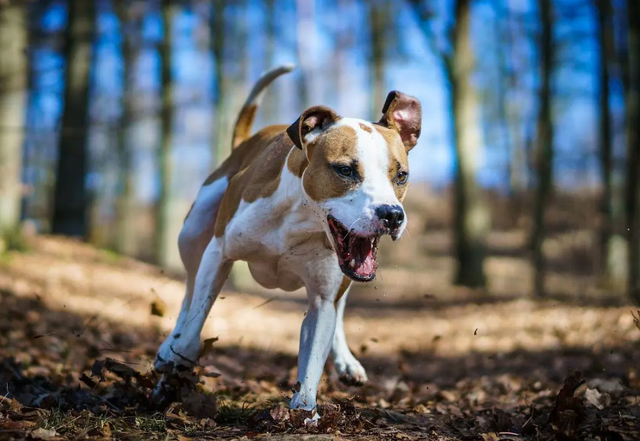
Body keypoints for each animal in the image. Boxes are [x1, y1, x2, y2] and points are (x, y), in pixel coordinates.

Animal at [155, 64, 422, 412]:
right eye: (345, 170)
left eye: (401, 175)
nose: (391, 214)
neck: (301, 219)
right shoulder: (219, 253)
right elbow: (193, 326)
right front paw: (173, 370)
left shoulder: (323, 300)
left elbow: (313, 357)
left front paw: (303, 411)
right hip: (193, 231)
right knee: (189, 291)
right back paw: (167, 346)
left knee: (340, 308)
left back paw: (346, 361)